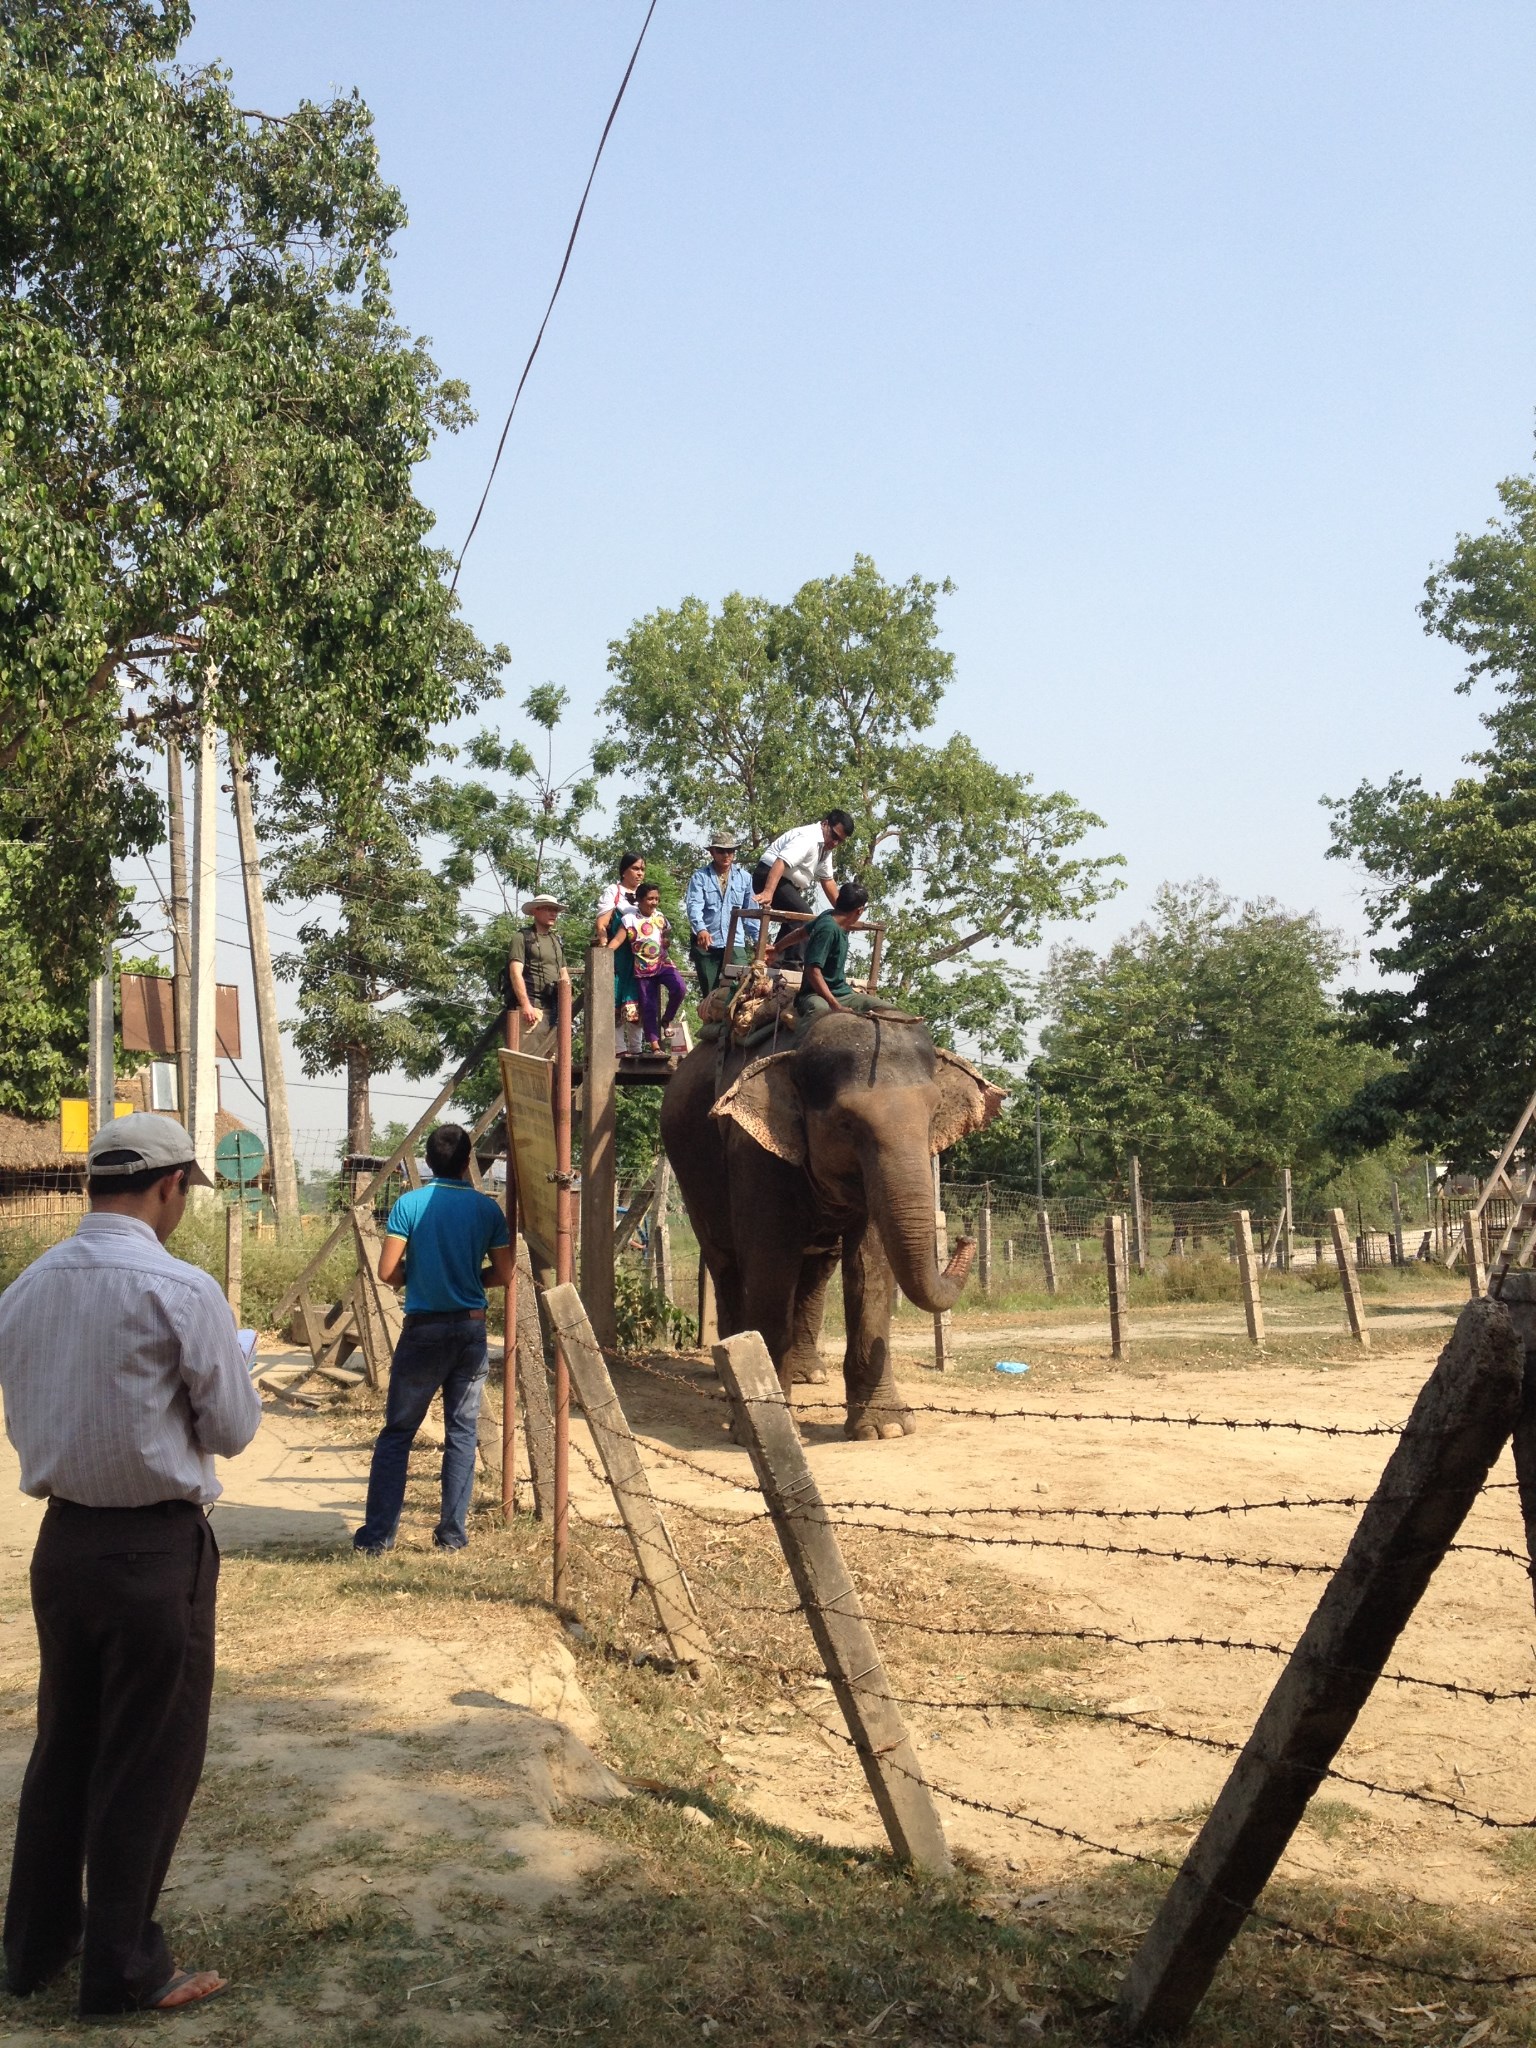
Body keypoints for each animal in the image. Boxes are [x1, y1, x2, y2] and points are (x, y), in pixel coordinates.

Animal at [663, 1011, 1011, 1441]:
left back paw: (809, 1373)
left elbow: (871, 1264)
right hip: (691, 1176)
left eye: (933, 1116)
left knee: (817, 1267)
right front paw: (768, 1429)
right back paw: (731, 1371)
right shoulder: (754, 1152)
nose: (965, 1238)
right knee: (725, 1264)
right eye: (846, 1124)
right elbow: (770, 1264)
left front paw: (886, 1429)